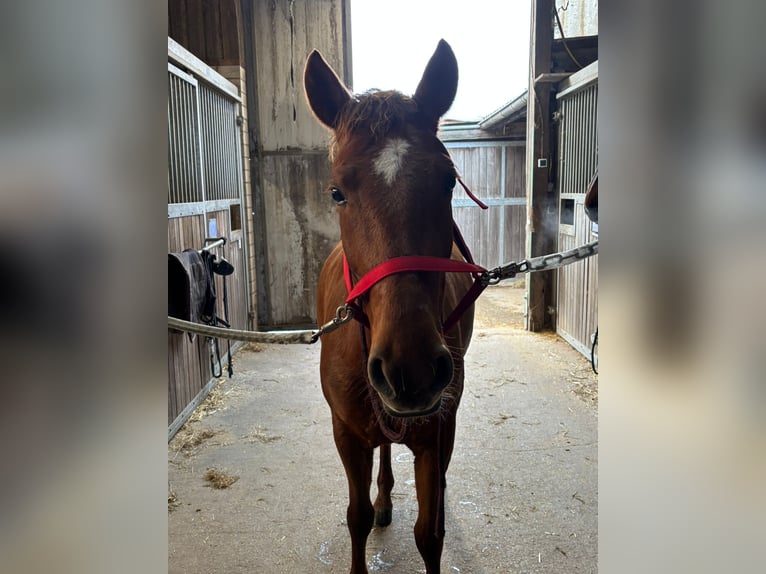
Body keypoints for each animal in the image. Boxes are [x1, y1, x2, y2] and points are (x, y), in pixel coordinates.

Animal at [304, 40, 477, 573]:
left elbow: (430, 533)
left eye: (448, 181)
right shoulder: (346, 433)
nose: (411, 368)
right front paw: (371, 511)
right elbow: (356, 518)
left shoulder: (436, 432)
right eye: (337, 191)